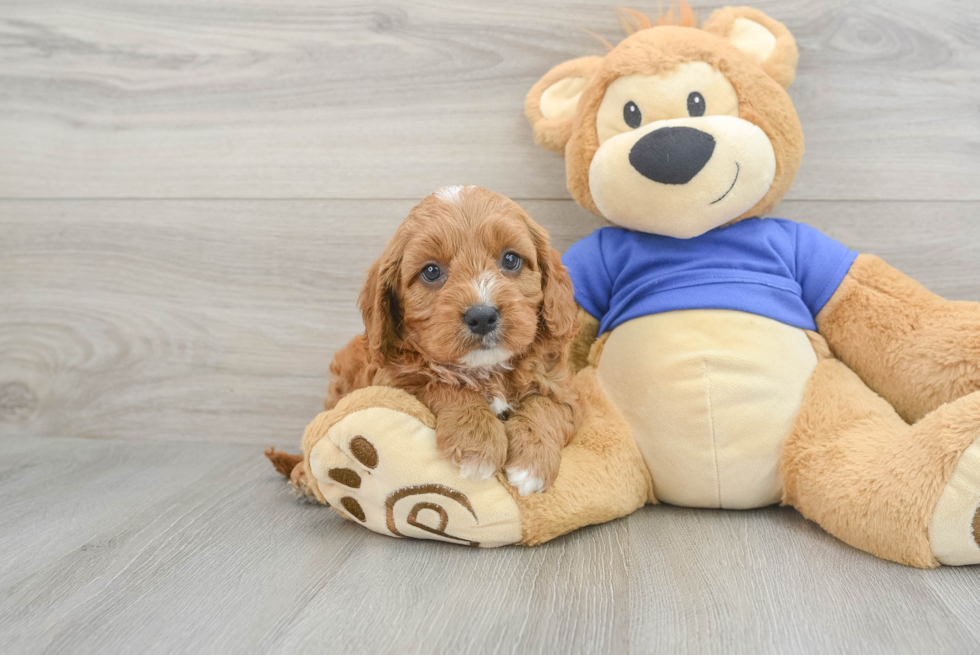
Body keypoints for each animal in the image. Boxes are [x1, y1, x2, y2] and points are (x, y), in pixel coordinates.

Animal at [326, 187, 580, 494]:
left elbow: (547, 406)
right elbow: (442, 384)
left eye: (510, 260)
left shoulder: (566, 391)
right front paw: (477, 444)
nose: (482, 316)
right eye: (431, 271)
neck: (487, 370)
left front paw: (532, 464)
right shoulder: (394, 382)